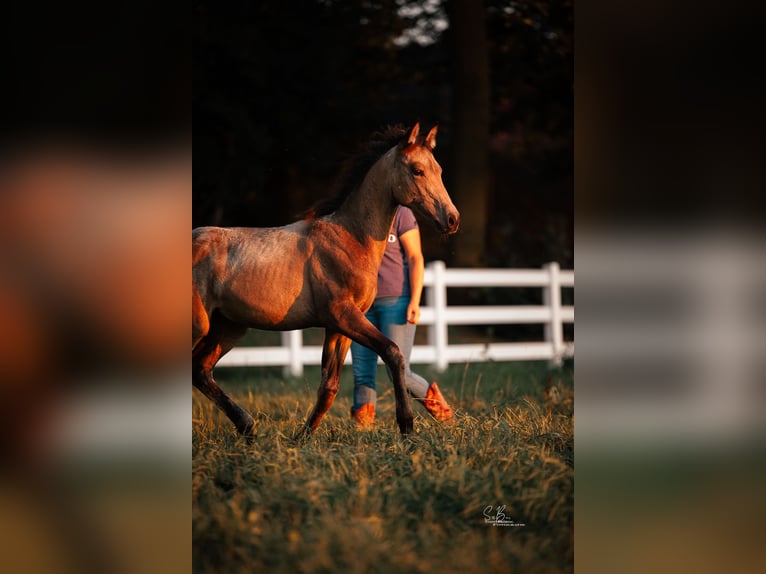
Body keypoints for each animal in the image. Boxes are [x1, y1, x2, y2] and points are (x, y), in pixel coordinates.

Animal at [192, 123, 459, 437]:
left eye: (439, 169)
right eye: (417, 170)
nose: (452, 219)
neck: (350, 237)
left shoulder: (338, 327)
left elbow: (329, 386)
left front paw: (302, 438)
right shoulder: (343, 315)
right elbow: (393, 353)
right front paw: (407, 427)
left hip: (228, 327)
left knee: (201, 370)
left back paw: (247, 427)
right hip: (201, 325)